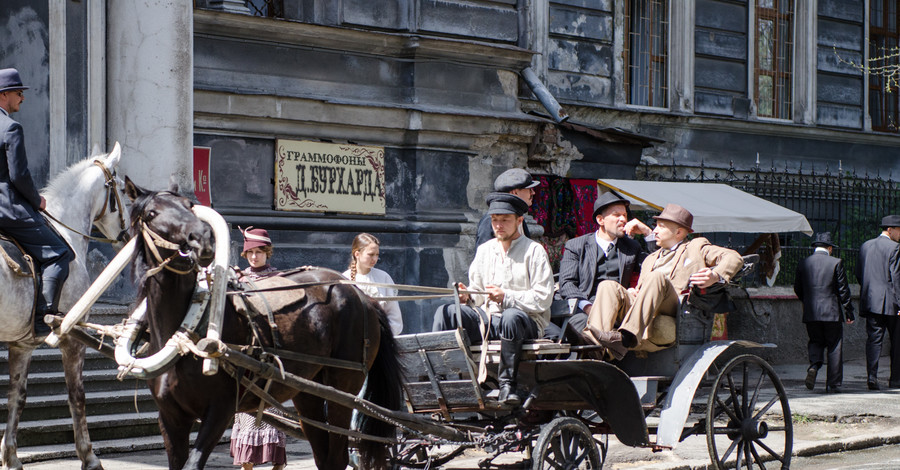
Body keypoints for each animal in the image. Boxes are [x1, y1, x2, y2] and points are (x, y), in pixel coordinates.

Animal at [0, 144, 128, 470]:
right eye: (122, 188)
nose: (127, 235)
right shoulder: (72, 337)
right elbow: (77, 395)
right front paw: (89, 456)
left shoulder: (22, 345)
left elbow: (17, 396)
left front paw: (11, 456)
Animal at [121, 178, 402, 468]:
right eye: (151, 214)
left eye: (189, 204)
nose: (202, 238)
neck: (188, 330)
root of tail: (362, 296)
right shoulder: (170, 417)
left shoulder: (220, 410)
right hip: (308, 391)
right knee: (324, 454)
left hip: (343, 387)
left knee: (337, 455)